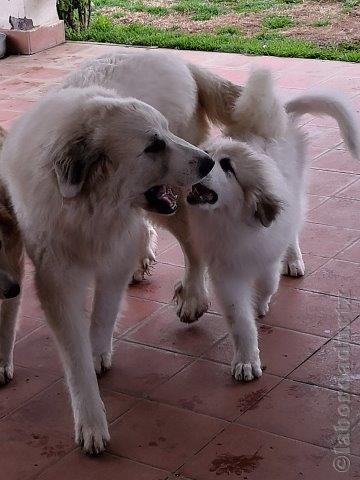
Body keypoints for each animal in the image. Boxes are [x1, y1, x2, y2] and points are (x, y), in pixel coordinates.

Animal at [0, 83, 214, 454]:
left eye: (166, 133)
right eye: (153, 145)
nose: (208, 161)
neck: (89, 206)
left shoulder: (115, 256)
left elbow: (103, 312)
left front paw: (98, 351)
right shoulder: (56, 280)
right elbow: (75, 359)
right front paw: (90, 420)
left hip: (174, 205)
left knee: (191, 243)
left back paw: (192, 295)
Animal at [187, 68, 358, 382]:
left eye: (227, 166)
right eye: (208, 153)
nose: (202, 161)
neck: (230, 221)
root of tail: (283, 115)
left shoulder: (267, 255)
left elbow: (268, 282)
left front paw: (260, 304)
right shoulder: (225, 272)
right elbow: (239, 320)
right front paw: (245, 362)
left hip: (296, 197)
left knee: (293, 232)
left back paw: (293, 261)